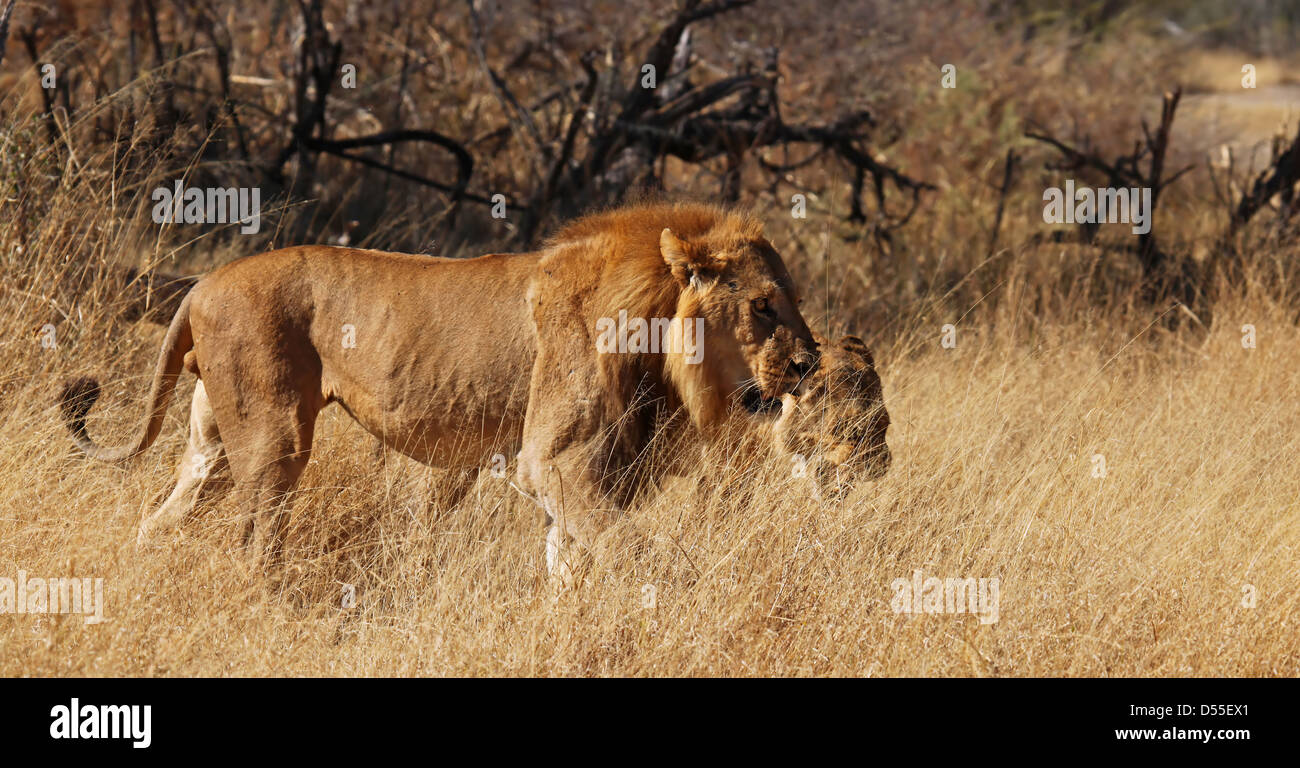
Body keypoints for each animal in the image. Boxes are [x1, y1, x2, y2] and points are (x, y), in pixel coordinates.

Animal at [59, 202, 821, 585]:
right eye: (764, 305)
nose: (809, 364)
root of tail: (201, 285)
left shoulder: (569, 474)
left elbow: (568, 565)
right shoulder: (558, 460)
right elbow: (639, 553)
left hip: (213, 444)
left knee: (159, 520)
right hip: (274, 439)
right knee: (253, 539)